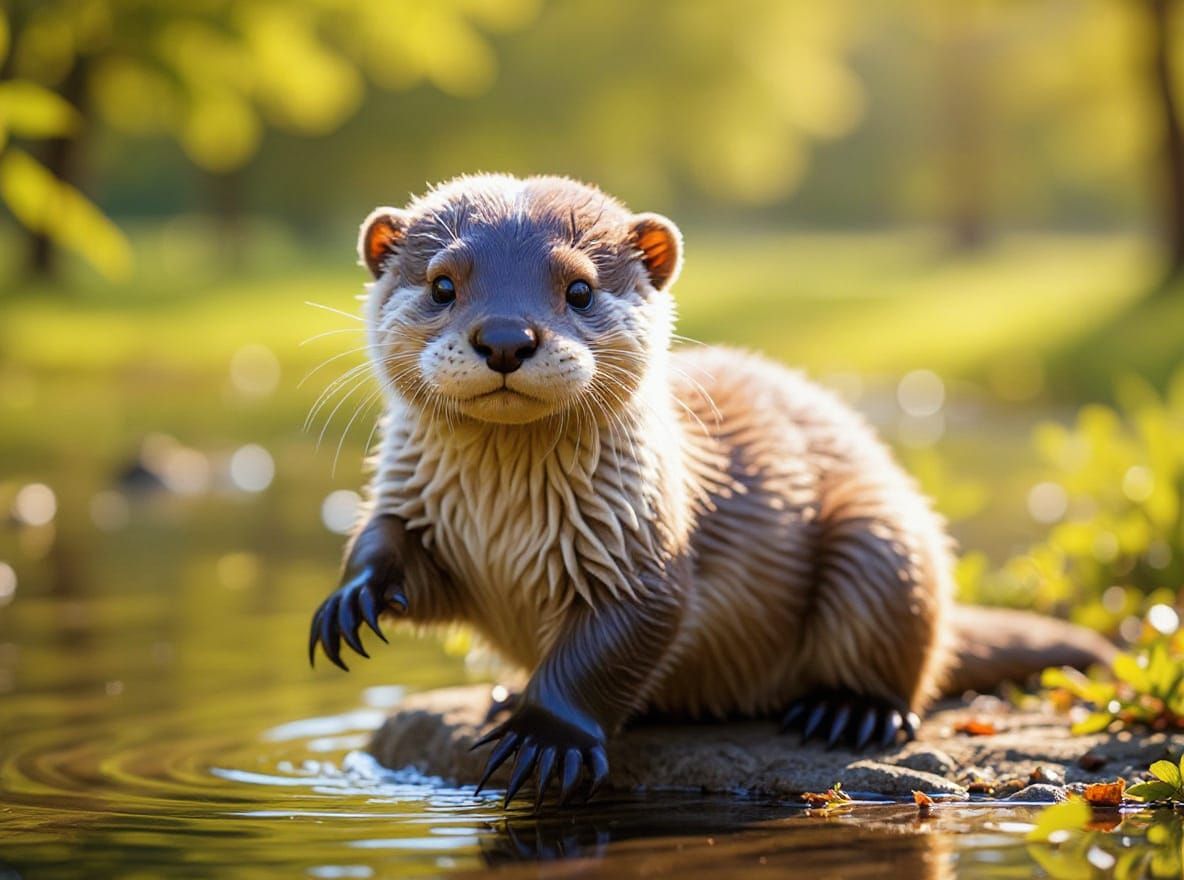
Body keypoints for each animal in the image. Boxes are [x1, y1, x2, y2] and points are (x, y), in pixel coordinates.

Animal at [308, 174, 1113, 807]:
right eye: (443, 284)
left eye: (579, 289)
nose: (505, 336)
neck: (501, 524)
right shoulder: (423, 509)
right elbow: (401, 555)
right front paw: (355, 595)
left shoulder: (642, 549)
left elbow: (617, 642)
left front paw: (546, 736)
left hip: (883, 540)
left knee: (907, 650)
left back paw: (848, 712)